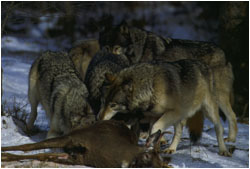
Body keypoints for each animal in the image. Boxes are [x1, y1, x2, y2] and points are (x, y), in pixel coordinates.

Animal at [97, 60, 234, 156]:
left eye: (113, 105)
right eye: (103, 102)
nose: (99, 118)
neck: (150, 87)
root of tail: (205, 66)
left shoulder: (172, 112)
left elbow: (155, 128)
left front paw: (150, 145)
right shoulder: (153, 115)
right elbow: (150, 129)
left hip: (208, 110)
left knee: (219, 127)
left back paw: (223, 150)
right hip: (180, 117)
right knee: (179, 131)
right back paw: (171, 149)